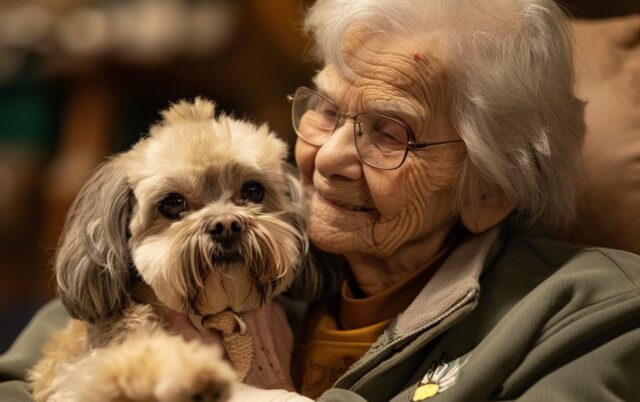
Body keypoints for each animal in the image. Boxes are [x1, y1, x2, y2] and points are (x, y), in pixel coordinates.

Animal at [28, 99, 308, 402]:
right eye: (173, 203)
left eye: (253, 190)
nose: (226, 225)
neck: (215, 315)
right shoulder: (78, 374)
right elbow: (132, 361)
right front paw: (192, 375)